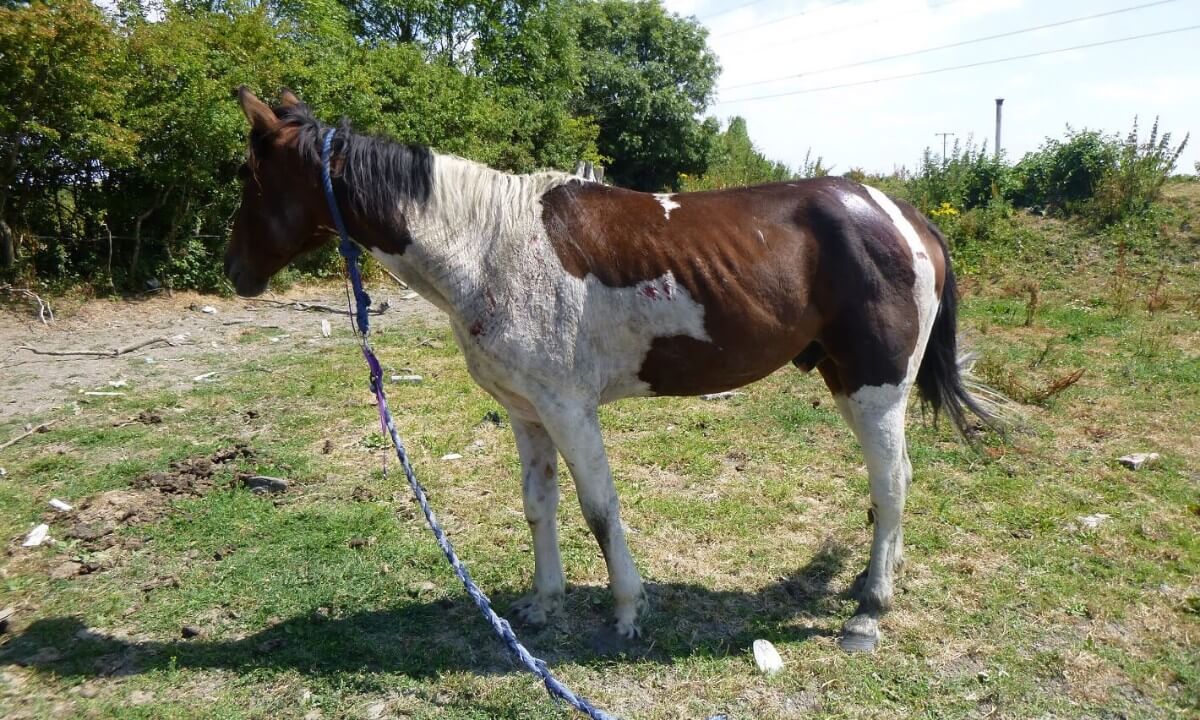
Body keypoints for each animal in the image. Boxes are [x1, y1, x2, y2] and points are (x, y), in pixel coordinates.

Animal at [224, 88, 1000, 653]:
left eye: (245, 177)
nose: (234, 272)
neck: (486, 244)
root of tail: (904, 217)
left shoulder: (570, 409)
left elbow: (600, 510)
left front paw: (628, 610)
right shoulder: (527, 411)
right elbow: (538, 506)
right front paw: (544, 604)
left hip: (877, 388)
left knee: (893, 484)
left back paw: (870, 610)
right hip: (843, 378)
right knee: (891, 483)